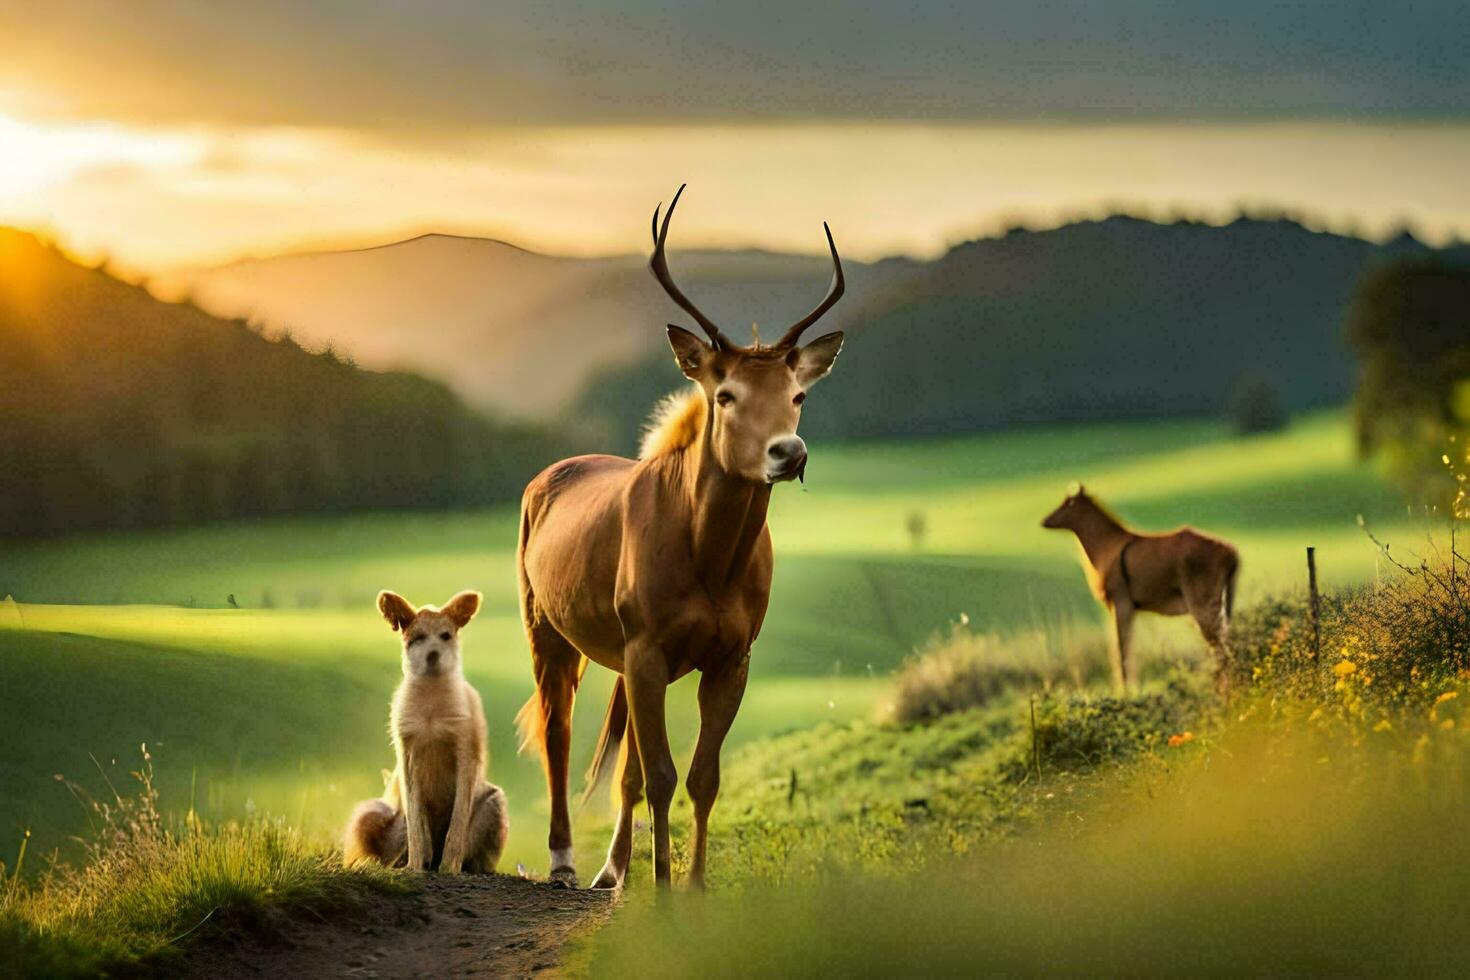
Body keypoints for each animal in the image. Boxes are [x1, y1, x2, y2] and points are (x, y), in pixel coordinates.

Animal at [345, 590, 511, 875]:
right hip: (371, 812)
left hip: (495, 802)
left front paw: (449, 867)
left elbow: (457, 823)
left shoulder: (465, 751)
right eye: (418, 638)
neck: (431, 706)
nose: (432, 654)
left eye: (446, 635)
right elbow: (416, 821)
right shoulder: (408, 754)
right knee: (386, 850)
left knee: (474, 853)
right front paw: (415, 865)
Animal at [517, 183, 846, 887]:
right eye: (725, 394)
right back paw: (564, 861)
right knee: (557, 731)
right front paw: (663, 890)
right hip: (546, 623)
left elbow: (699, 777)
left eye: (799, 394)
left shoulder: (731, 653)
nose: (789, 452)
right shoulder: (646, 643)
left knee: (624, 766)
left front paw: (691, 888)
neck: (711, 565)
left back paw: (612, 870)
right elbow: (662, 776)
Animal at [1046, 487, 1240, 693]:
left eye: (1070, 503)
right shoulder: (1128, 609)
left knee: (1221, 649)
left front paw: (1125, 691)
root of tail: (1232, 553)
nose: (1045, 520)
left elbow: (1120, 651)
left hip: (1203, 605)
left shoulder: (1120, 603)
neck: (1105, 546)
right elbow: (1126, 649)